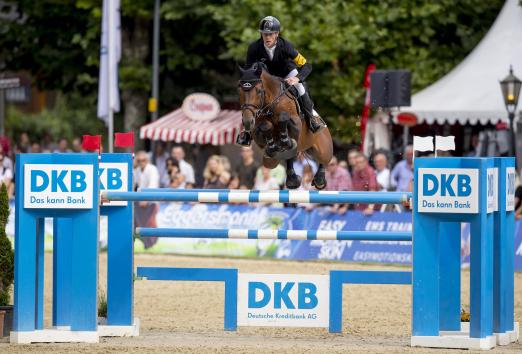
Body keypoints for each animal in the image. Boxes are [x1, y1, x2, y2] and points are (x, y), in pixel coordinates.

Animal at [237, 63, 332, 191]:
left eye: (259, 91)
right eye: (240, 91)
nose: (248, 122)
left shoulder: (296, 123)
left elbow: (284, 119)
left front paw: (285, 140)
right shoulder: (257, 135)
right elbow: (265, 127)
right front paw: (273, 146)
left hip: (323, 149)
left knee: (323, 160)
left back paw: (318, 179)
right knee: (283, 159)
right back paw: (293, 178)